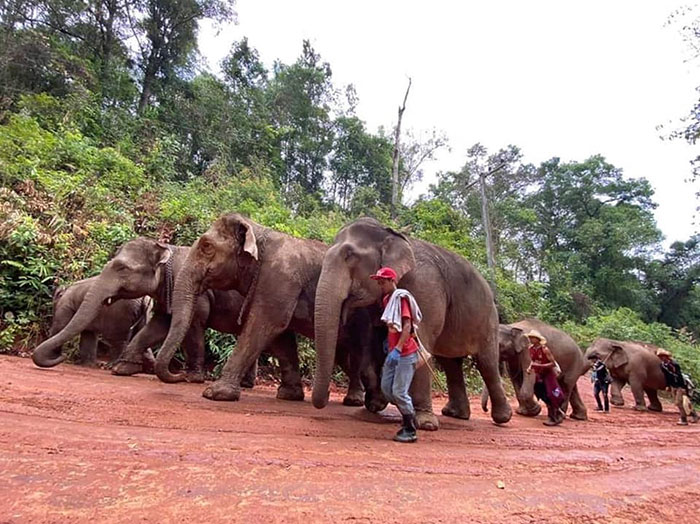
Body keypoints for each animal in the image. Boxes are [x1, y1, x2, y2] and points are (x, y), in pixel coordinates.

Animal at [154, 213, 385, 409]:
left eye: (206, 246)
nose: (180, 375)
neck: (259, 231)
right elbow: (282, 337)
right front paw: (289, 395)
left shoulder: (279, 279)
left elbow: (264, 324)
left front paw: (214, 393)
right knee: (344, 354)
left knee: (357, 353)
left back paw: (356, 401)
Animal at [311, 217, 513, 431]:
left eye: (349, 256)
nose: (325, 399)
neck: (390, 234)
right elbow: (376, 338)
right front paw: (375, 404)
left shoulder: (425, 288)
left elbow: (419, 338)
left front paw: (425, 423)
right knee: (451, 363)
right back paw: (456, 414)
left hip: (488, 320)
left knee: (486, 362)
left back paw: (501, 418)